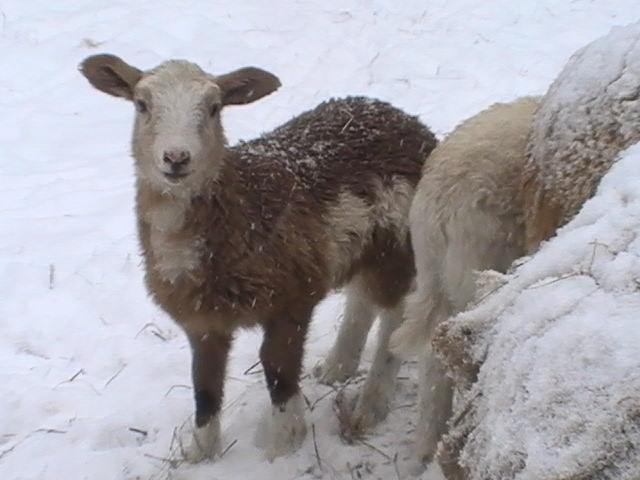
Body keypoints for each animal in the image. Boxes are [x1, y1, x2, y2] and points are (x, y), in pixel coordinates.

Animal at [80, 52, 438, 462]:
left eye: (214, 107)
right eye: (142, 104)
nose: (176, 158)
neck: (237, 207)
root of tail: (411, 123)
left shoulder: (293, 297)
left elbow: (277, 370)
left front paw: (284, 446)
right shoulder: (202, 320)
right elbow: (204, 386)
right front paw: (200, 454)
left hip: (398, 241)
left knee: (394, 315)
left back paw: (370, 406)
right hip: (362, 246)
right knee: (361, 298)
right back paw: (337, 366)